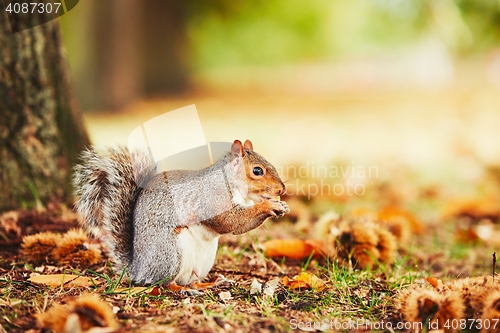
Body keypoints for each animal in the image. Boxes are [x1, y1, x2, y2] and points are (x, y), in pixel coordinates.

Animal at [71, 139, 290, 286]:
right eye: (257, 171)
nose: (282, 190)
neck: (231, 183)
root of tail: (138, 268)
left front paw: (280, 206)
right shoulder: (212, 198)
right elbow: (228, 222)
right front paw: (269, 206)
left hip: (203, 262)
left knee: (192, 279)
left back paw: (210, 284)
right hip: (169, 253)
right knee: (164, 282)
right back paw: (181, 289)